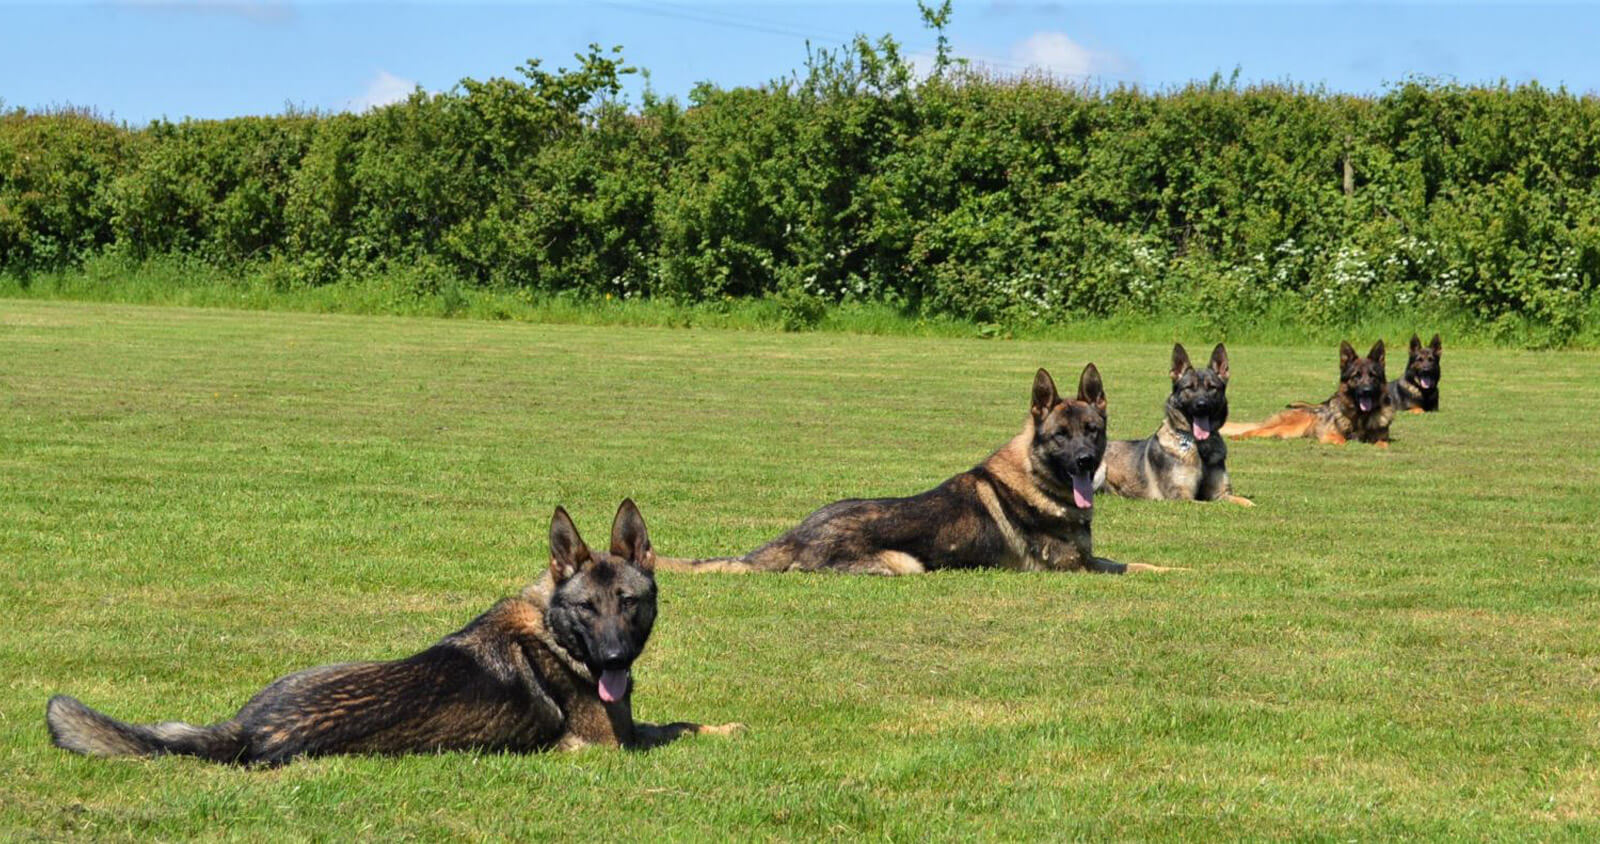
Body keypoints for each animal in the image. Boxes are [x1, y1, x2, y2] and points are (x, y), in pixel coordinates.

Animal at [46, 501, 739, 764]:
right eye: (587, 610)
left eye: (628, 603)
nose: (615, 657)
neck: (550, 626)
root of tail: (248, 730)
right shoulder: (611, 746)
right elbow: (675, 729)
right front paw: (724, 729)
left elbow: (675, 721)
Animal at [656, 366, 1171, 575]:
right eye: (1060, 436)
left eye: (1093, 431)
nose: (1085, 462)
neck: (1037, 481)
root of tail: (797, 532)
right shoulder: (1074, 568)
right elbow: (1131, 567)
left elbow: (1137, 562)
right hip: (907, 564)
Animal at [1094, 345, 1254, 508]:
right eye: (1189, 388)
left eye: (1212, 388)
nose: (1202, 405)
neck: (1199, 447)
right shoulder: (1182, 497)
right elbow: (1211, 504)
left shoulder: (1221, 493)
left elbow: (1244, 501)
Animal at [1222, 338, 1388, 447]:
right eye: (1356, 376)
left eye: (1373, 376)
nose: (1366, 391)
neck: (1361, 417)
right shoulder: (1329, 435)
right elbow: (1342, 440)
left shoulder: (1382, 438)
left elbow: (1382, 443)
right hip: (1289, 427)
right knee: (1254, 431)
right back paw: (1238, 437)